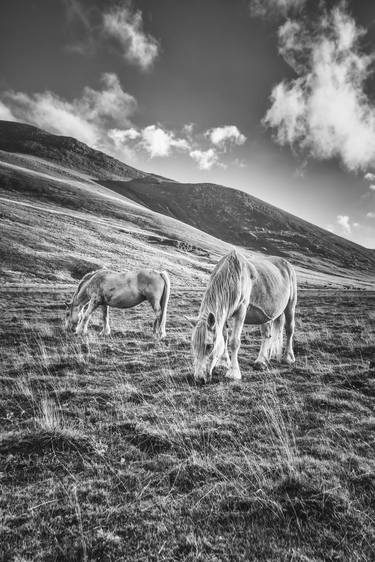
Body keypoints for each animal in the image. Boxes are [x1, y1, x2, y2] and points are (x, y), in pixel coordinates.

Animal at [191, 248, 296, 380]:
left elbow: (234, 342)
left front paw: (233, 373)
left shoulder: (241, 310)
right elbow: (224, 338)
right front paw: (223, 363)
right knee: (267, 335)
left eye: (209, 346)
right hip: (266, 314)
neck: (232, 277)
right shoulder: (224, 314)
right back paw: (261, 361)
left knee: (289, 330)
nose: (199, 378)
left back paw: (288, 358)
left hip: (290, 305)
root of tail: (287, 264)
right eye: (194, 345)